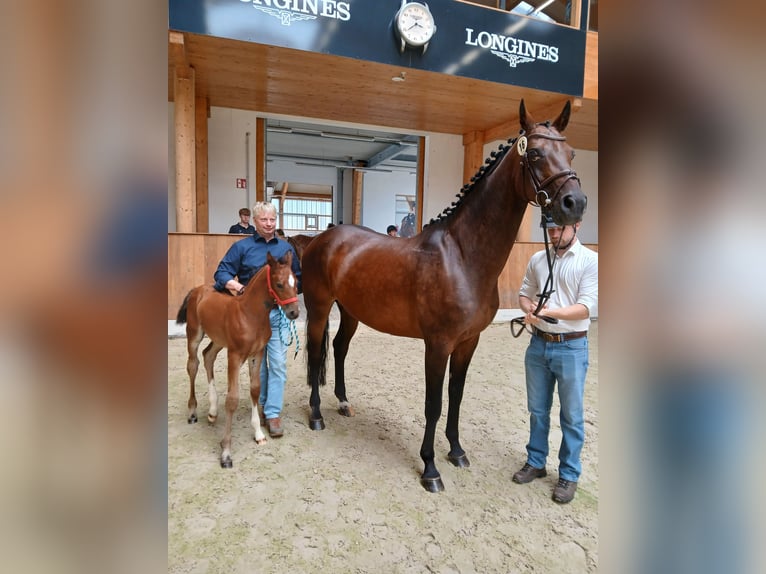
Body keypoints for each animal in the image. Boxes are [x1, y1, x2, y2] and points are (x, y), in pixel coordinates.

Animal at [175, 251, 300, 468]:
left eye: (296, 282)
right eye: (279, 284)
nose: (294, 312)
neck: (250, 315)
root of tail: (197, 289)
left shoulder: (257, 354)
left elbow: (255, 389)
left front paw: (259, 434)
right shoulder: (234, 355)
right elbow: (232, 399)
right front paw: (226, 452)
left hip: (218, 340)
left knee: (208, 356)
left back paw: (213, 411)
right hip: (194, 334)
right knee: (193, 365)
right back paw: (192, 412)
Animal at [301, 100, 587, 492]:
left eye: (571, 153)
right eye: (537, 153)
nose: (576, 203)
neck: (463, 257)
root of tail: (323, 239)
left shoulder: (468, 342)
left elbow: (456, 397)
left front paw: (456, 451)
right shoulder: (437, 344)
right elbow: (433, 404)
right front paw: (430, 468)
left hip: (351, 311)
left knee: (340, 348)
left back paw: (343, 403)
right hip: (318, 308)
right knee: (316, 354)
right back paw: (316, 415)